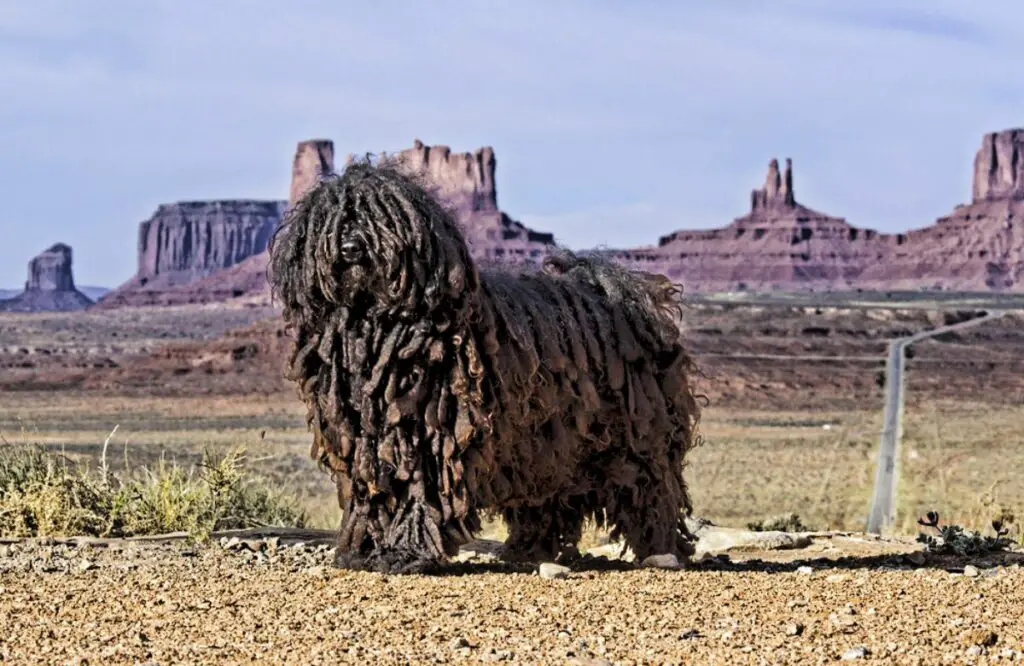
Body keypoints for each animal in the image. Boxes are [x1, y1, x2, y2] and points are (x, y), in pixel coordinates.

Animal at [270, 160, 704, 569]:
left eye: (384, 218)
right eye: (332, 221)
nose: (350, 248)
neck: (374, 325)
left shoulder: (428, 433)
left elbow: (418, 490)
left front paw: (406, 552)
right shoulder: (365, 438)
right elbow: (372, 493)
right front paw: (364, 550)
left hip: (634, 430)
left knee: (651, 486)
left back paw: (660, 546)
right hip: (545, 440)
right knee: (546, 494)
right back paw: (527, 548)